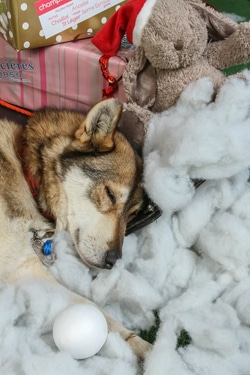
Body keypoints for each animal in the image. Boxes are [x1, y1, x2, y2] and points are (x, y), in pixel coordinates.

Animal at [0, 98, 152, 360]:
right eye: (110, 194)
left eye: (131, 214)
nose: (113, 261)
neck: (26, 174)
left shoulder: (24, 268)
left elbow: (97, 312)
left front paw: (139, 345)